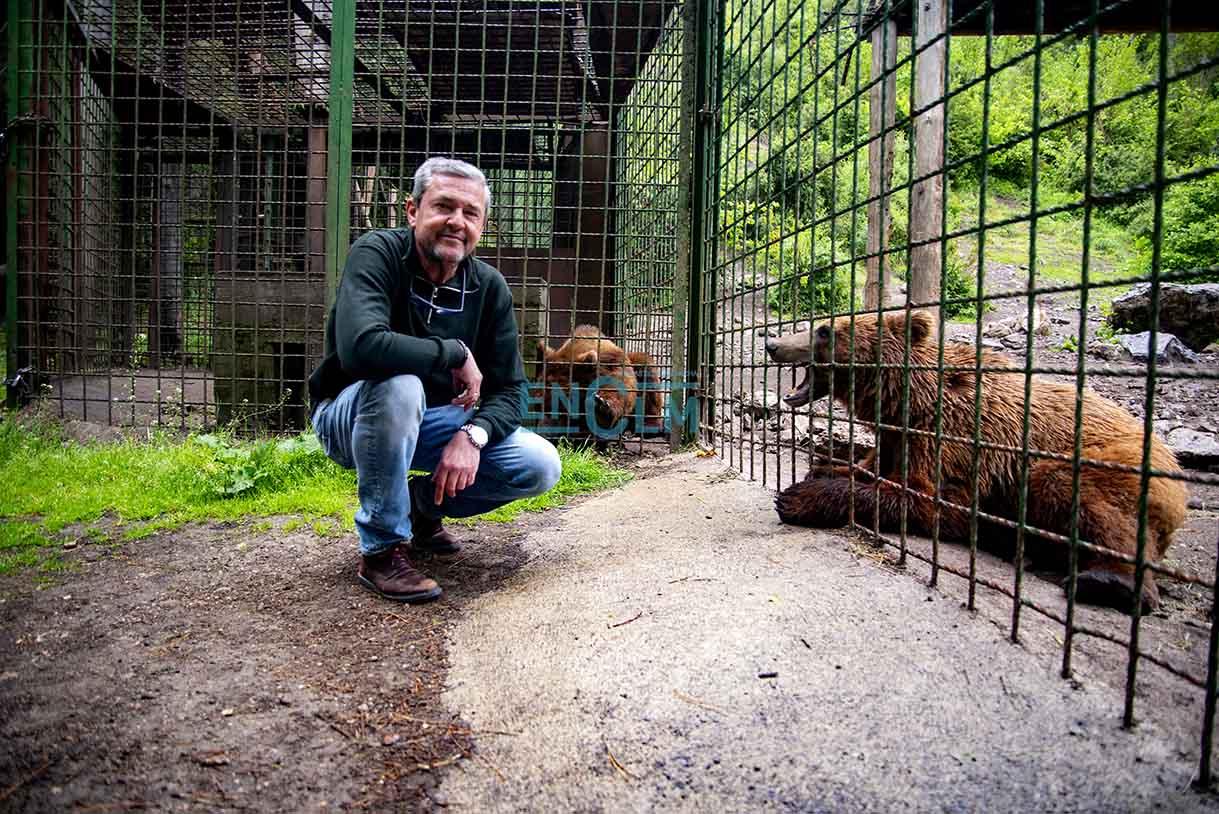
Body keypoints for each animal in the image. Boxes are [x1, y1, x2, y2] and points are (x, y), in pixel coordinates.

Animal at [765, 308, 1184, 614]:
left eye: (823, 331)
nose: (772, 343)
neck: (904, 398)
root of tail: (1174, 467)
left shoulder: (957, 436)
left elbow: (933, 497)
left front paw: (799, 496)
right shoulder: (901, 433)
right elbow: (878, 465)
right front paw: (824, 465)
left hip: (1105, 463)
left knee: (1086, 500)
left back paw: (1110, 581)